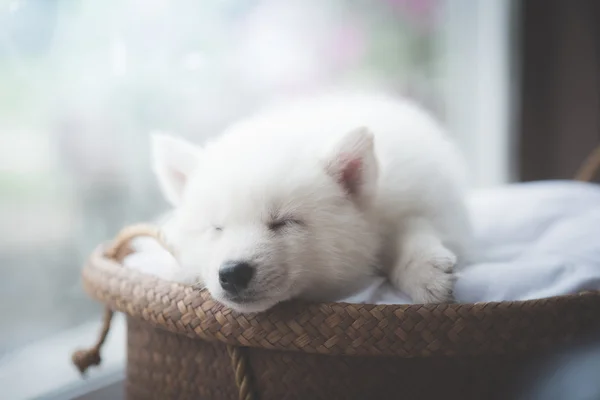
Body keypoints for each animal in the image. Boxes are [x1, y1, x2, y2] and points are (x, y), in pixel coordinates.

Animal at [152, 93, 472, 312]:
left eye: (284, 222)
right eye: (217, 228)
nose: (232, 273)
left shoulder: (413, 197)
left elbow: (411, 227)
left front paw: (426, 272)